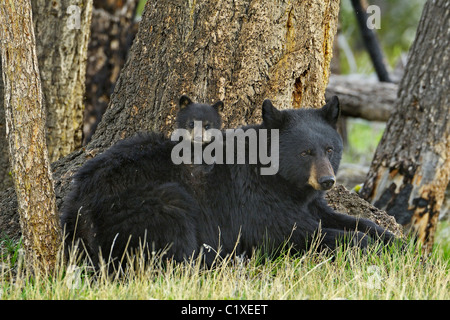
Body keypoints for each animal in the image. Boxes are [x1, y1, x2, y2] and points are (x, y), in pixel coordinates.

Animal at [61, 96, 396, 266]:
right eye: (305, 152)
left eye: (329, 149)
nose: (327, 180)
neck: (281, 180)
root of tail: (77, 206)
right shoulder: (253, 197)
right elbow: (286, 232)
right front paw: (363, 244)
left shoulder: (307, 201)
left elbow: (342, 218)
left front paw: (394, 240)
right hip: (147, 200)